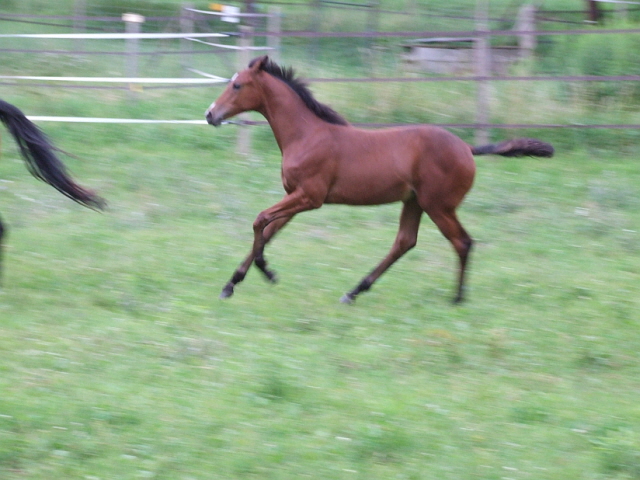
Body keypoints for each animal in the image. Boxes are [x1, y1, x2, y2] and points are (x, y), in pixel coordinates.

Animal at [206, 57, 556, 304]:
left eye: (238, 86)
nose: (210, 114)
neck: (307, 134)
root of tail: (467, 148)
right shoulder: (296, 196)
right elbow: (268, 229)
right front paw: (235, 282)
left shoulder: (310, 197)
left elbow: (259, 220)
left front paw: (264, 271)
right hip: (415, 202)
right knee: (405, 241)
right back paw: (354, 291)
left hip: (438, 205)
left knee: (462, 242)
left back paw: (456, 298)